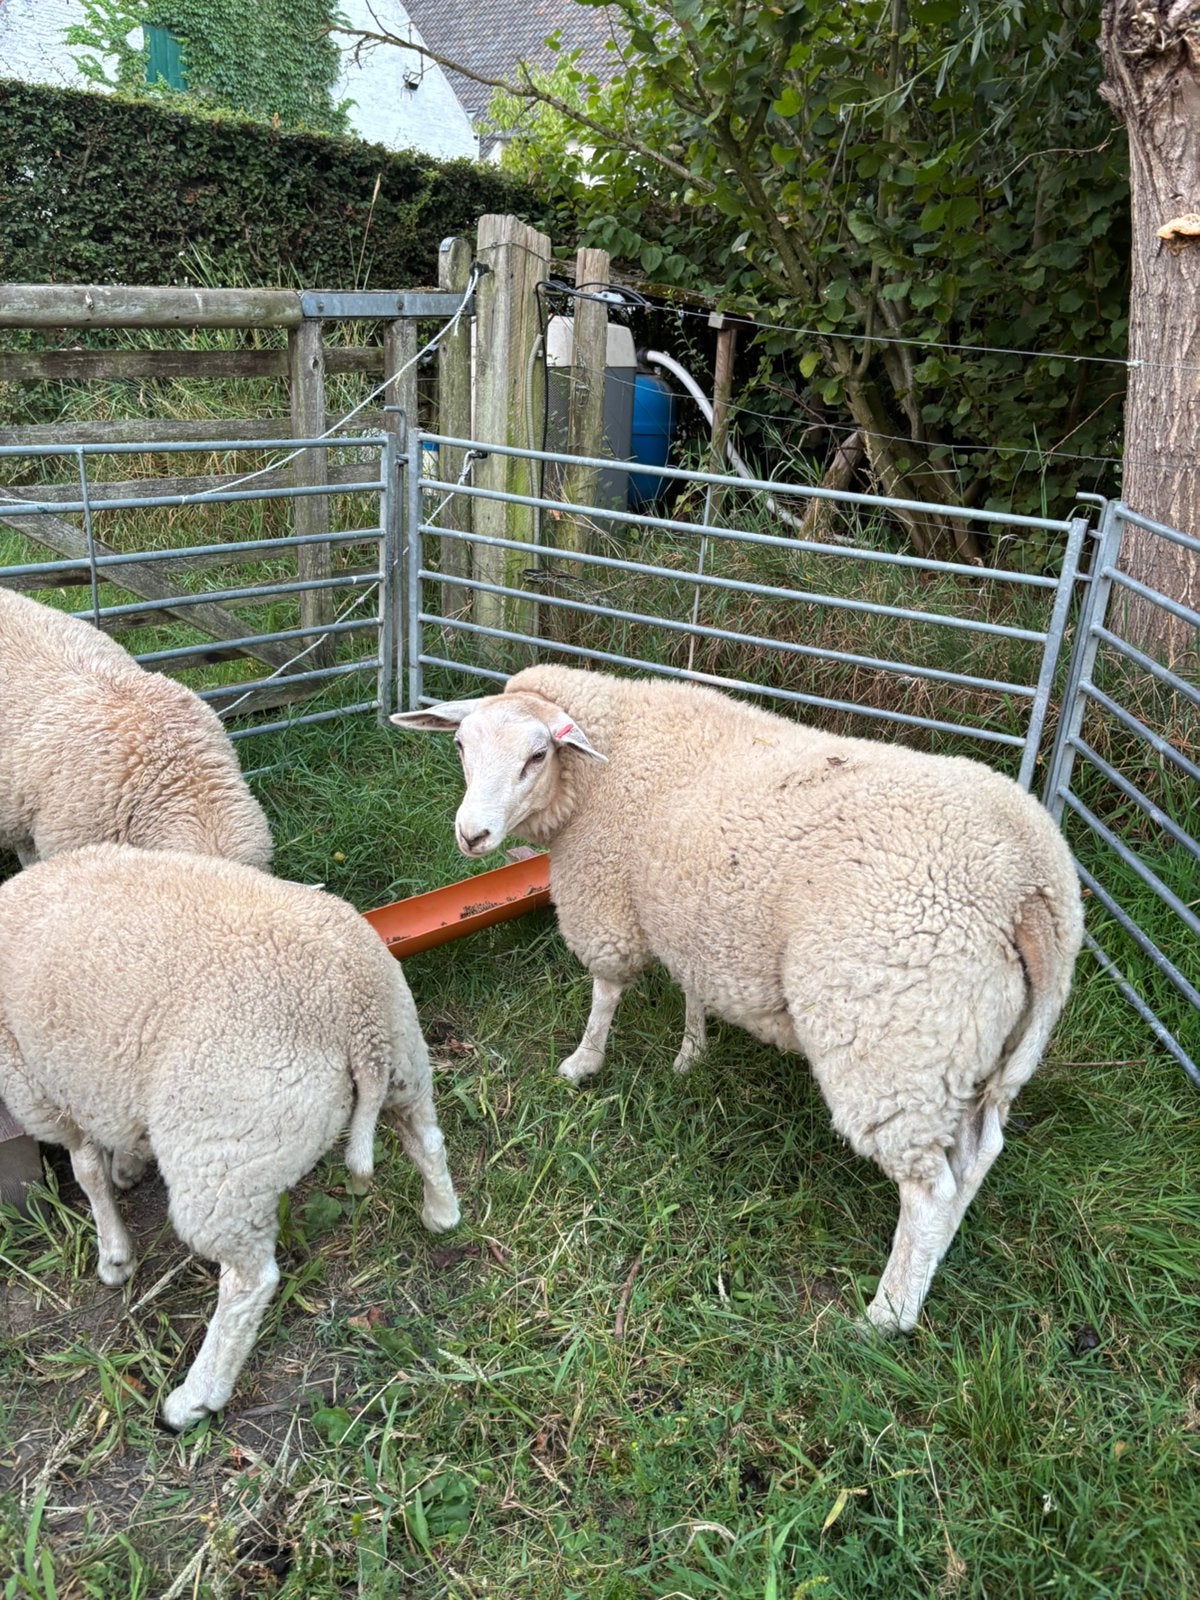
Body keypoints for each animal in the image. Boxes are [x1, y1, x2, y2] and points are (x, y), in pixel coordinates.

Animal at [0, 844, 460, 1430]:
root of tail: (358, 1015)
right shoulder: (103, 1077)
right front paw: (129, 1165)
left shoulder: (40, 1084)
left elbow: (86, 1171)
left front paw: (114, 1254)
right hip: (407, 1067)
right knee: (427, 1141)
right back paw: (441, 1215)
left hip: (224, 1153)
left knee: (250, 1280)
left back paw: (194, 1397)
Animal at [391, 664, 1083, 1333]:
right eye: (460, 746)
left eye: (537, 756)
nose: (472, 835)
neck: (600, 771)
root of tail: (1034, 886)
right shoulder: (693, 917)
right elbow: (693, 989)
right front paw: (690, 1052)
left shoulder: (608, 898)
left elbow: (607, 991)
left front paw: (584, 1062)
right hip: (970, 1047)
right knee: (976, 1157)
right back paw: (929, 1265)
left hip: (896, 1040)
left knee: (929, 1189)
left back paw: (887, 1314)